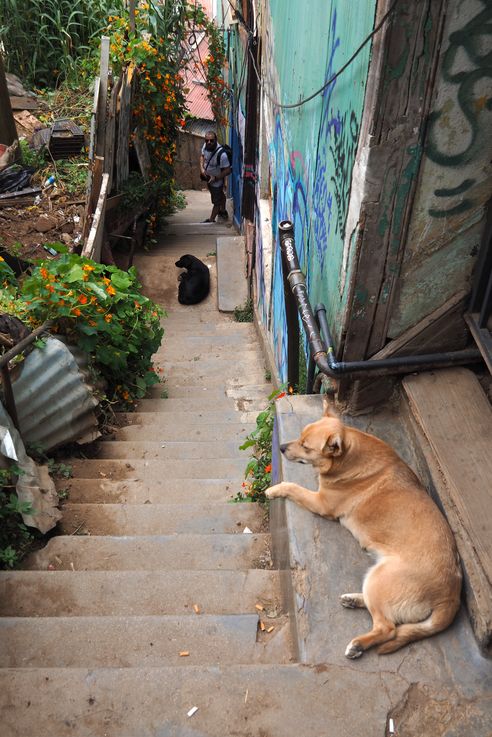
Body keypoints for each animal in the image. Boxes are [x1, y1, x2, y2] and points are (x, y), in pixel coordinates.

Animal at [266, 400, 462, 660]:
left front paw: (274, 489)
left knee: (387, 628)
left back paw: (358, 644)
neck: (349, 457)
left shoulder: (321, 503)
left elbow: (294, 487)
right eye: (299, 436)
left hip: (380, 580)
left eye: (306, 447)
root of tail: (451, 595)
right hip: (374, 581)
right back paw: (354, 600)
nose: (281, 447)